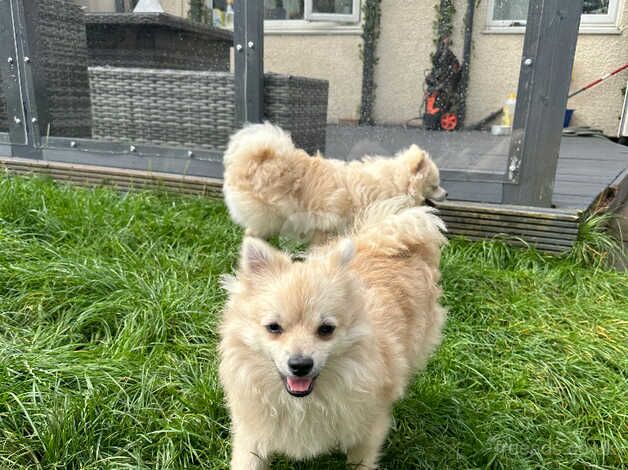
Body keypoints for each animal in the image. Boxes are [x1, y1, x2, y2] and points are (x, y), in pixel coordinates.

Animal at [220, 200, 446, 468]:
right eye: (274, 328)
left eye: (326, 330)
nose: (300, 364)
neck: (302, 403)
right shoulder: (252, 435)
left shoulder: (369, 430)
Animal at [221, 123, 446, 242]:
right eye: (434, 186)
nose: (447, 193)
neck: (393, 185)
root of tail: (254, 159)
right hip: (270, 213)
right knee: (253, 230)